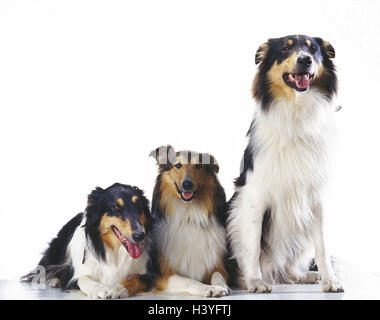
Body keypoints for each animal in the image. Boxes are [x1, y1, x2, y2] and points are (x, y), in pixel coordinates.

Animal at [21, 184, 156, 298]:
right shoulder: (75, 275)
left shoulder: (149, 275)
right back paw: (54, 280)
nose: (140, 236)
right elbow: (82, 278)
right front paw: (100, 289)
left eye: (139, 206)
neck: (114, 251)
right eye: (116, 206)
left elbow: (135, 279)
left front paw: (118, 289)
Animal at [150, 146, 230, 298]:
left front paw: (221, 286)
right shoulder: (163, 275)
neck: (189, 216)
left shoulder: (217, 265)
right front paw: (209, 288)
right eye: (178, 165)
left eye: (198, 166)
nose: (187, 184)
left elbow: (218, 275)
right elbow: (189, 280)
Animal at [226, 34, 344, 292]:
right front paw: (255, 281)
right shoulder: (253, 195)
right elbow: (252, 245)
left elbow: (322, 245)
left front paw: (330, 280)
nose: (305, 60)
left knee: (287, 269)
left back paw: (306, 275)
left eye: (314, 49)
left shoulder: (316, 197)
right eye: (285, 49)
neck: (296, 110)